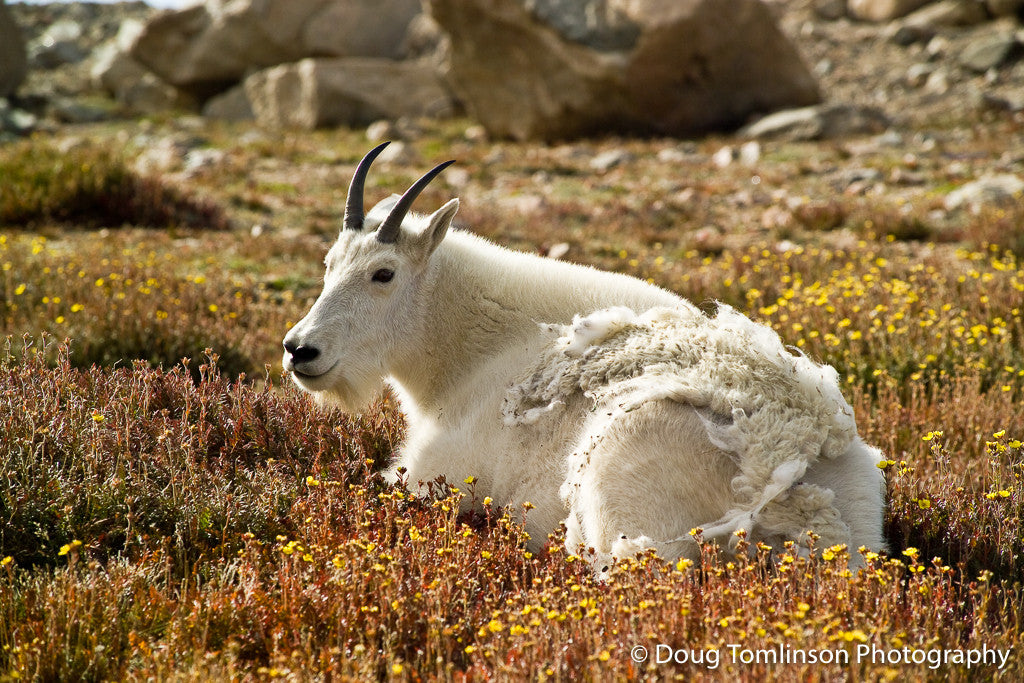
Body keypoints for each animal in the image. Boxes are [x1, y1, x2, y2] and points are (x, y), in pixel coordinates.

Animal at [283, 143, 887, 575]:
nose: (300, 349)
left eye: (383, 273)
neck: (468, 352)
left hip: (623, 505)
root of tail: (799, 503)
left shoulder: (434, 473)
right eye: (329, 262)